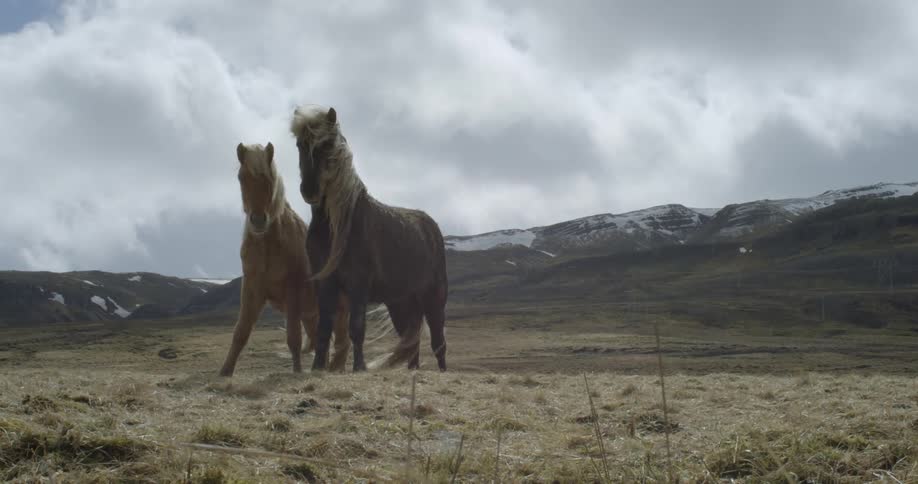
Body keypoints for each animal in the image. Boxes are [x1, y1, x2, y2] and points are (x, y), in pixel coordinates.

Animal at [218, 141, 351, 377]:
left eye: (270, 178)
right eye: (242, 177)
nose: (258, 221)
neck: (269, 247)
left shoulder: (293, 295)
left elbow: (293, 338)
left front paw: (297, 370)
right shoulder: (251, 291)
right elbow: (241, 332)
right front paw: (225, 371)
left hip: (338, 310)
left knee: (342, 342)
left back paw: (336, 369)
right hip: (312, 314)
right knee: (323, 341)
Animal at [290, 105, 448, 372]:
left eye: (327, 145)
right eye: (300, 144)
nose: (309, 190)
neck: (337, 225)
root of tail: (431, 227)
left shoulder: (358, 285)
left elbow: (356, 328)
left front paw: (359, 367)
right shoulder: (326, 284)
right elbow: (324, 329)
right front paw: (318, 366)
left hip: (433, 298)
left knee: (438, 341)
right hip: (401, 303)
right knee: (411, 341)